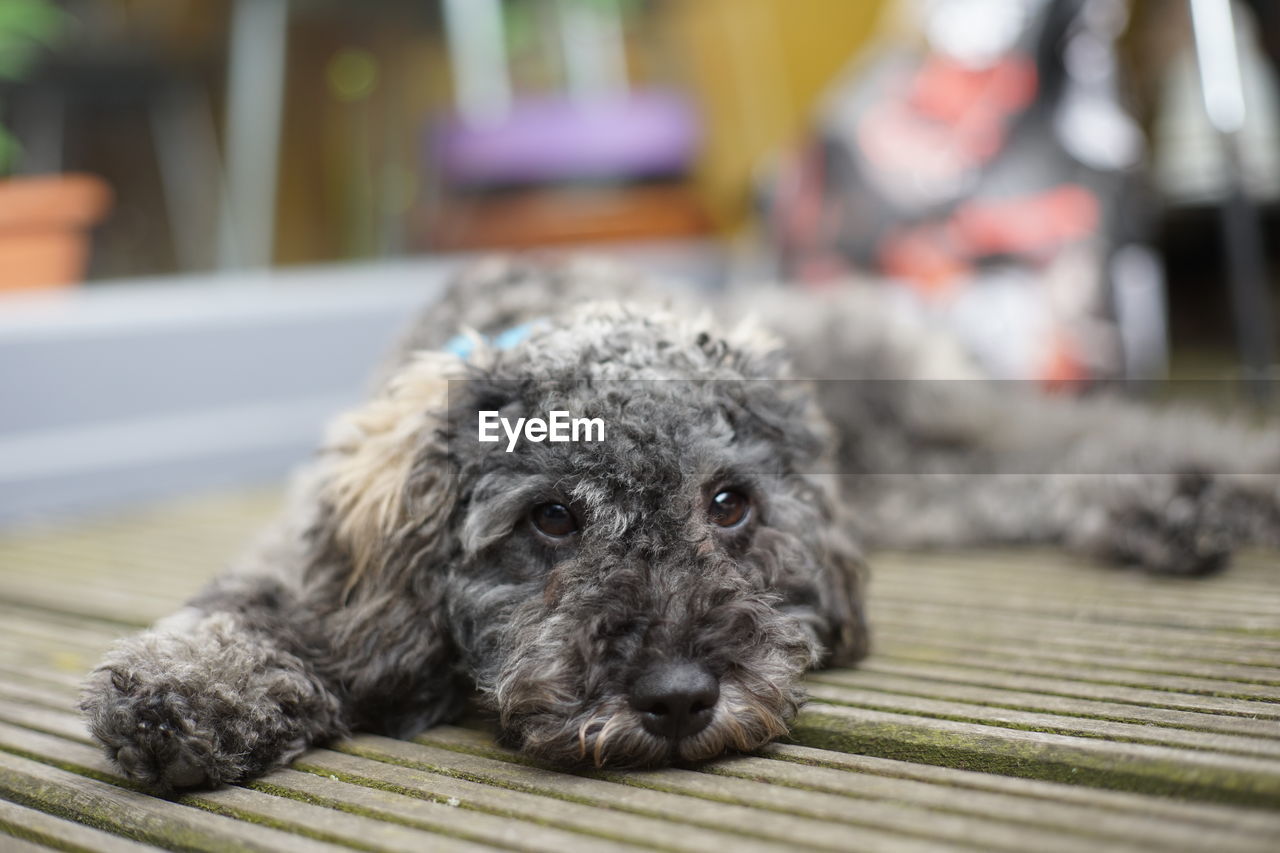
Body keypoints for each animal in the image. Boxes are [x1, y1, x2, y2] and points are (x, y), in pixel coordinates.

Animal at [80, 256, 1280, 788]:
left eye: (728, 502)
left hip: (924, 420)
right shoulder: (309, 557)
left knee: (1071, 431)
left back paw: (1203, 483)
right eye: (552, 517)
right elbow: (249, 606)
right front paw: (192, 689)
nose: (676, 697)